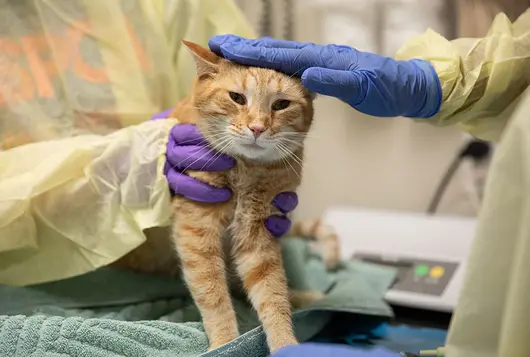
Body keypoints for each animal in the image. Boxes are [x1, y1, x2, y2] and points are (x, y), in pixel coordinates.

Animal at [169, 39, 316, 350]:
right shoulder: (196, 229)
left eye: (281, 104)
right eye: (237, 98)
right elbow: (212, 293)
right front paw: (224, 342)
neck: (243, 171)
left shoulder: (257, 234)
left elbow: (272, 292)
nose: (257, 128)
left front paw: (285, 344)